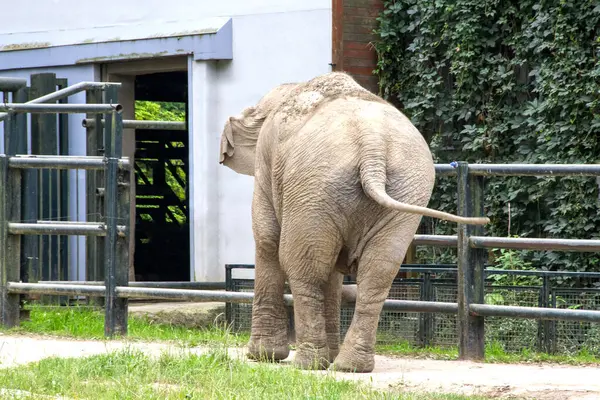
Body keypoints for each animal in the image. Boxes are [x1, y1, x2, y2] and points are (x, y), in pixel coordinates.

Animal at [218, 71, 490, 372]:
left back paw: (310, 364)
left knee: (303, 267)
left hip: (315, 185)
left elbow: (267, 239)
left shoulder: (267, 167)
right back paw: (349, 366)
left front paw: (262, 356)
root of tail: (373, 144)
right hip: (402, 189)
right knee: (377, 272)